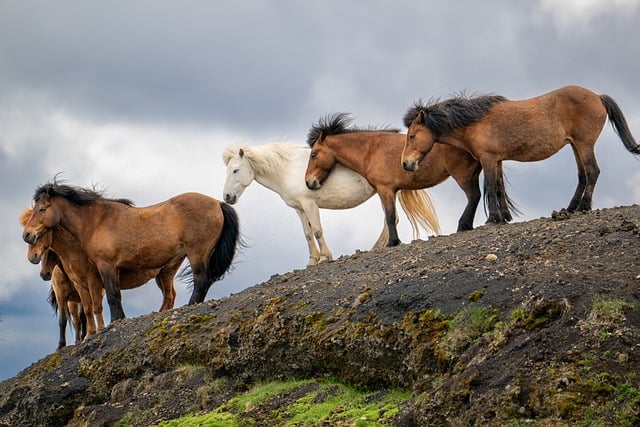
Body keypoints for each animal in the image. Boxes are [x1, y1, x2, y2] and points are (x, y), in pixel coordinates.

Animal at [22, 182, 241, 322]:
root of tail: (218, 203)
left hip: (197, 254)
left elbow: (113, 296)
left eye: (42, 208)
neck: (96, 221)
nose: (27, 235)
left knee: (201, 281)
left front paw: (116, 321)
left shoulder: (106, 266)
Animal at [223, 142, 440, 266]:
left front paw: (325, 257)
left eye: (235, 170)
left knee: (391, 218)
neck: (289, 169)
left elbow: (318, 231)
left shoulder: (310, 204)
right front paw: (312, 261)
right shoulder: (299, 209)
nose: (227, 197)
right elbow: (308, 234)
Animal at [304, 113, 512, 246]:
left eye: (313, 155)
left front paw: (393, 242)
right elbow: (391, 217)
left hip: (463, 175)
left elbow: (390, 217)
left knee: (474, 196)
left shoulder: (386, 190)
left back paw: (463, 225)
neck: (371, 149)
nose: (308, 182)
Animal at [403, 85, 640, 223]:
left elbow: (491, 187)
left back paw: (583, 207)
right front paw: (505, 217)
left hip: (584, 144)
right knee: (583, 175)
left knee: (592, 172)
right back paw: (570, 208)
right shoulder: (497, 159)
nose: (405, 164)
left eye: (412, 135)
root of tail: (597, 96)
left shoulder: (488, 158)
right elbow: (499, 187)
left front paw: (493, 219)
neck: (474, 122)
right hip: (575, 146)